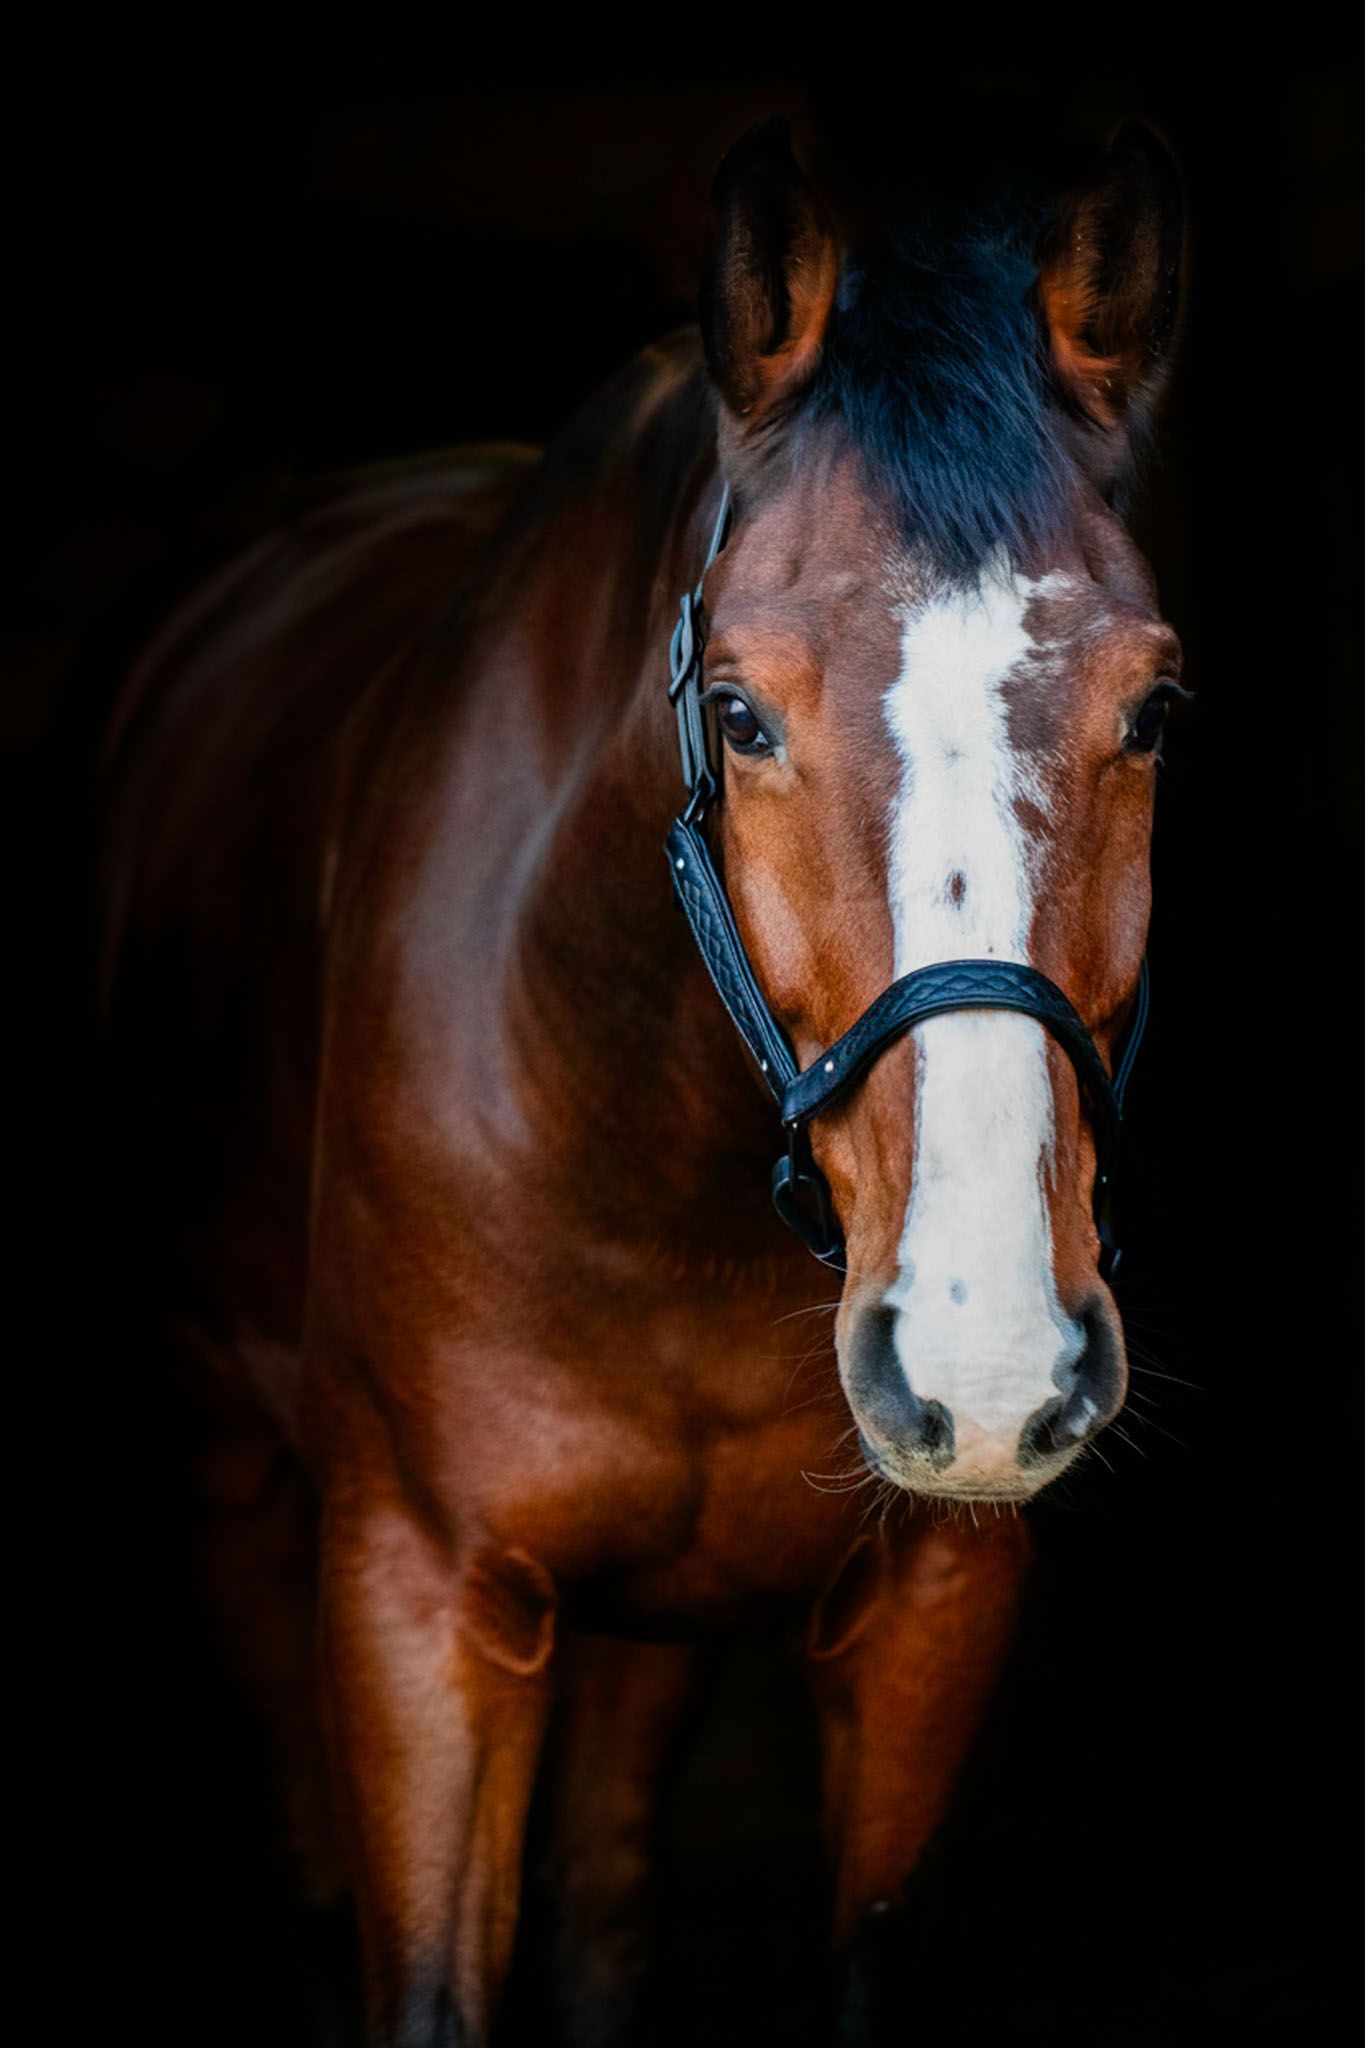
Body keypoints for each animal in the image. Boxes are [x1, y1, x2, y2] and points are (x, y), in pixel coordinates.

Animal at [96, 114, 1185, 2046]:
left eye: (1149, 709)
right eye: (738, 712)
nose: (985, 1360)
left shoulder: (935, 1599)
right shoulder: (417, 1598)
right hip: (235, 1473)